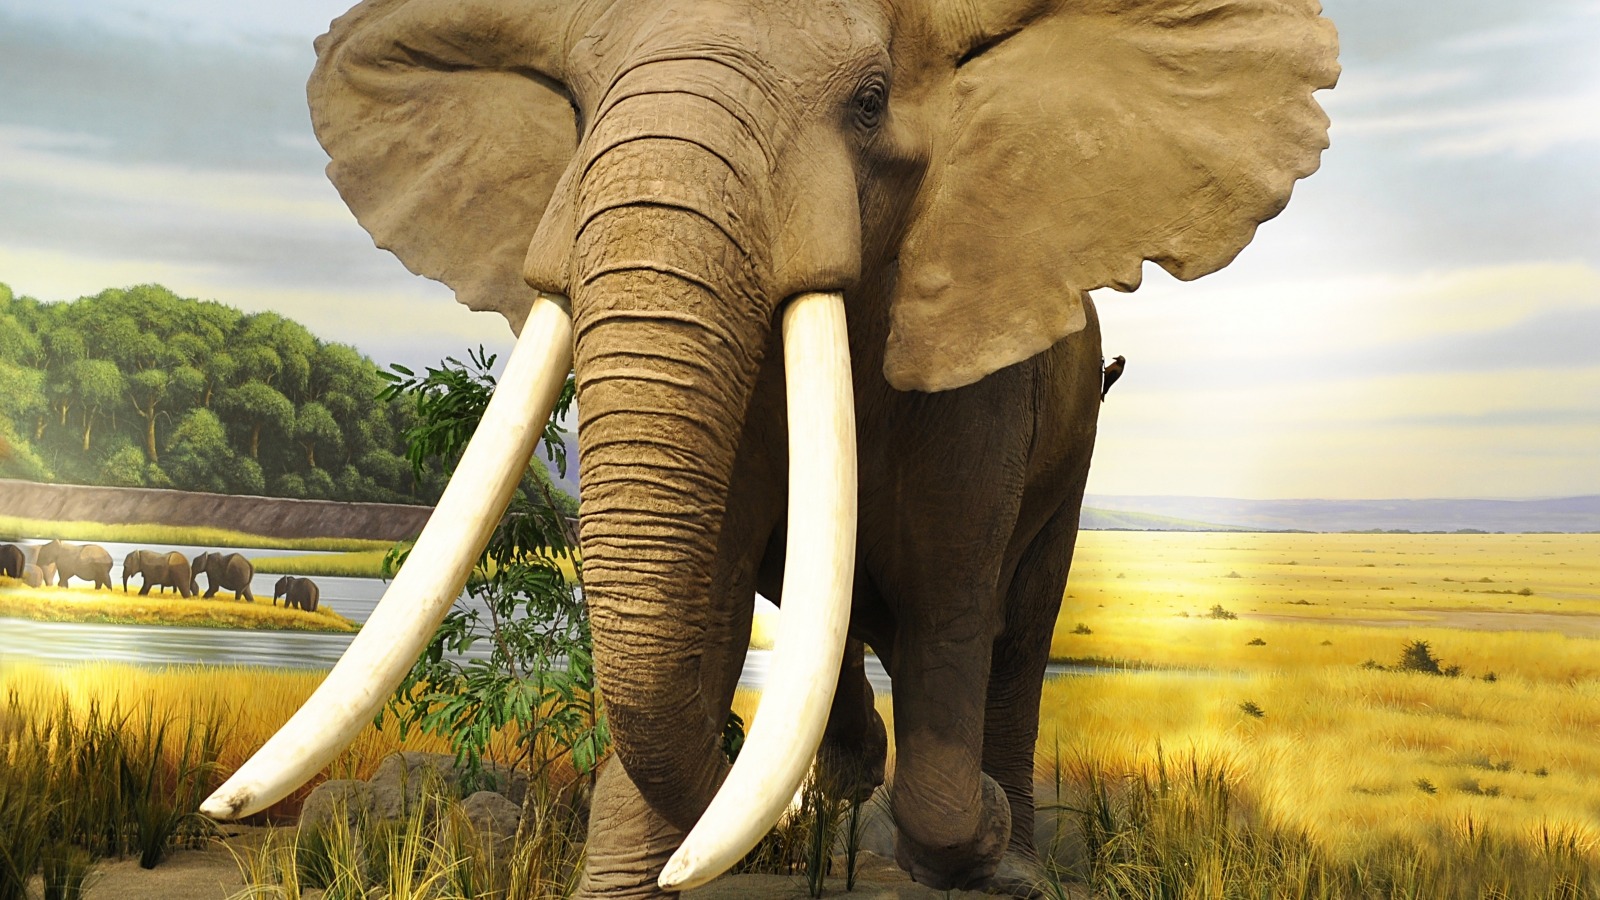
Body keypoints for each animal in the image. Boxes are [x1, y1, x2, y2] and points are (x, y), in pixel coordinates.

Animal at [203, 1, 1337, 897]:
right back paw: (849, 775)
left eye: (872, 102)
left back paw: (995, 847)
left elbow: (951, 606)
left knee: (1015, 633)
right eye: (574, 104)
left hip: (1073, 442)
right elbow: (703, 601)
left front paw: (970, 829)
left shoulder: (984, 368)